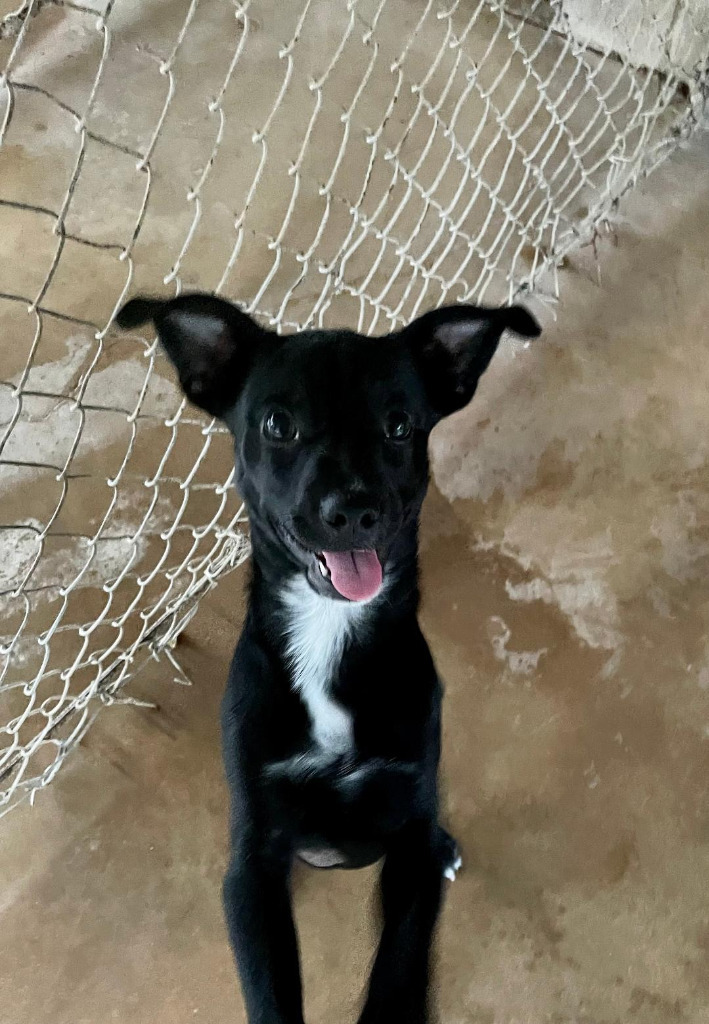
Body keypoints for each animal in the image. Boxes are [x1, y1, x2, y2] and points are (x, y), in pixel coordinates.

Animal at [116, 294, 540, 1024]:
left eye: (399, 425)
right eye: (277, 424)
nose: (355, 510)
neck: (327, 634)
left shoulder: (407, 831)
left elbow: (398, 971)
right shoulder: (253, 863)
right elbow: (271, 991)